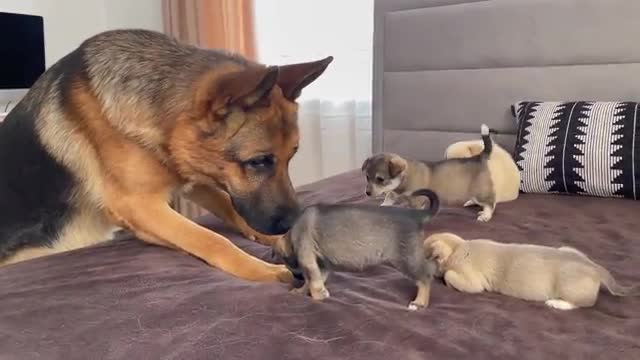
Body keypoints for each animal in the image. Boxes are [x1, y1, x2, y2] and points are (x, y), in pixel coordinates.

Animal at [0, 29, 330, 282]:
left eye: (291, 157)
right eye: (258, 162)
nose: (293, 221)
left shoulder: (191, 178)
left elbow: (232, 210)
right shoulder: (139, 205)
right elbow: (210, 238)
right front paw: (263, 270)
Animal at [272, 190, 442, 310]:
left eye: (289, 265)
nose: (296, 278)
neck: (293, 233)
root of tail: (416, 215)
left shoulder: (307, 258)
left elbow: (312, 280)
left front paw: (318, 296)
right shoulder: (320, 265)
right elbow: (314, 280)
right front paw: (301, 291)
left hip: (406, 259)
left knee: (425, 276)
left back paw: (419, 303)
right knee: (430, 268)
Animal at [362, 125, 498, 224]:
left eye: (380, 179)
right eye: (367, 177)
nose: (367, 193)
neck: (405, 177)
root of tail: (479, 157)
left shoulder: (418, 201)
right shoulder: (394, 192)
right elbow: (388, 198)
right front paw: (382, 206)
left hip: (480, 191)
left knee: (491, 203)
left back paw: (485, 215)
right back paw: (471, 202)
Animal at [422, 233, 636, 310]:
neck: (458, 247)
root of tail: (595, 268)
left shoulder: (472, 281)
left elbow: (449, 275)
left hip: (570, 288)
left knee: (582, 303)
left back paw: (556, 303)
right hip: (567, 249)